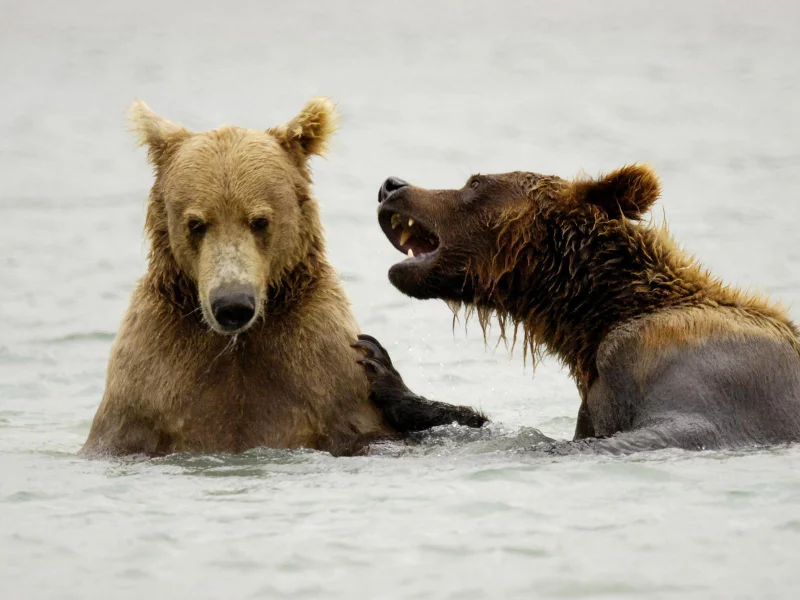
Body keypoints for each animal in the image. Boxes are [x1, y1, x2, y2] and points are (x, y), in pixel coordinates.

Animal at [81, 98, 484, 458]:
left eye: (259, 220)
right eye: (196, 223)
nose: (233, 304)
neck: (237, 344)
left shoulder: (322, 371)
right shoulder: (149, 385)